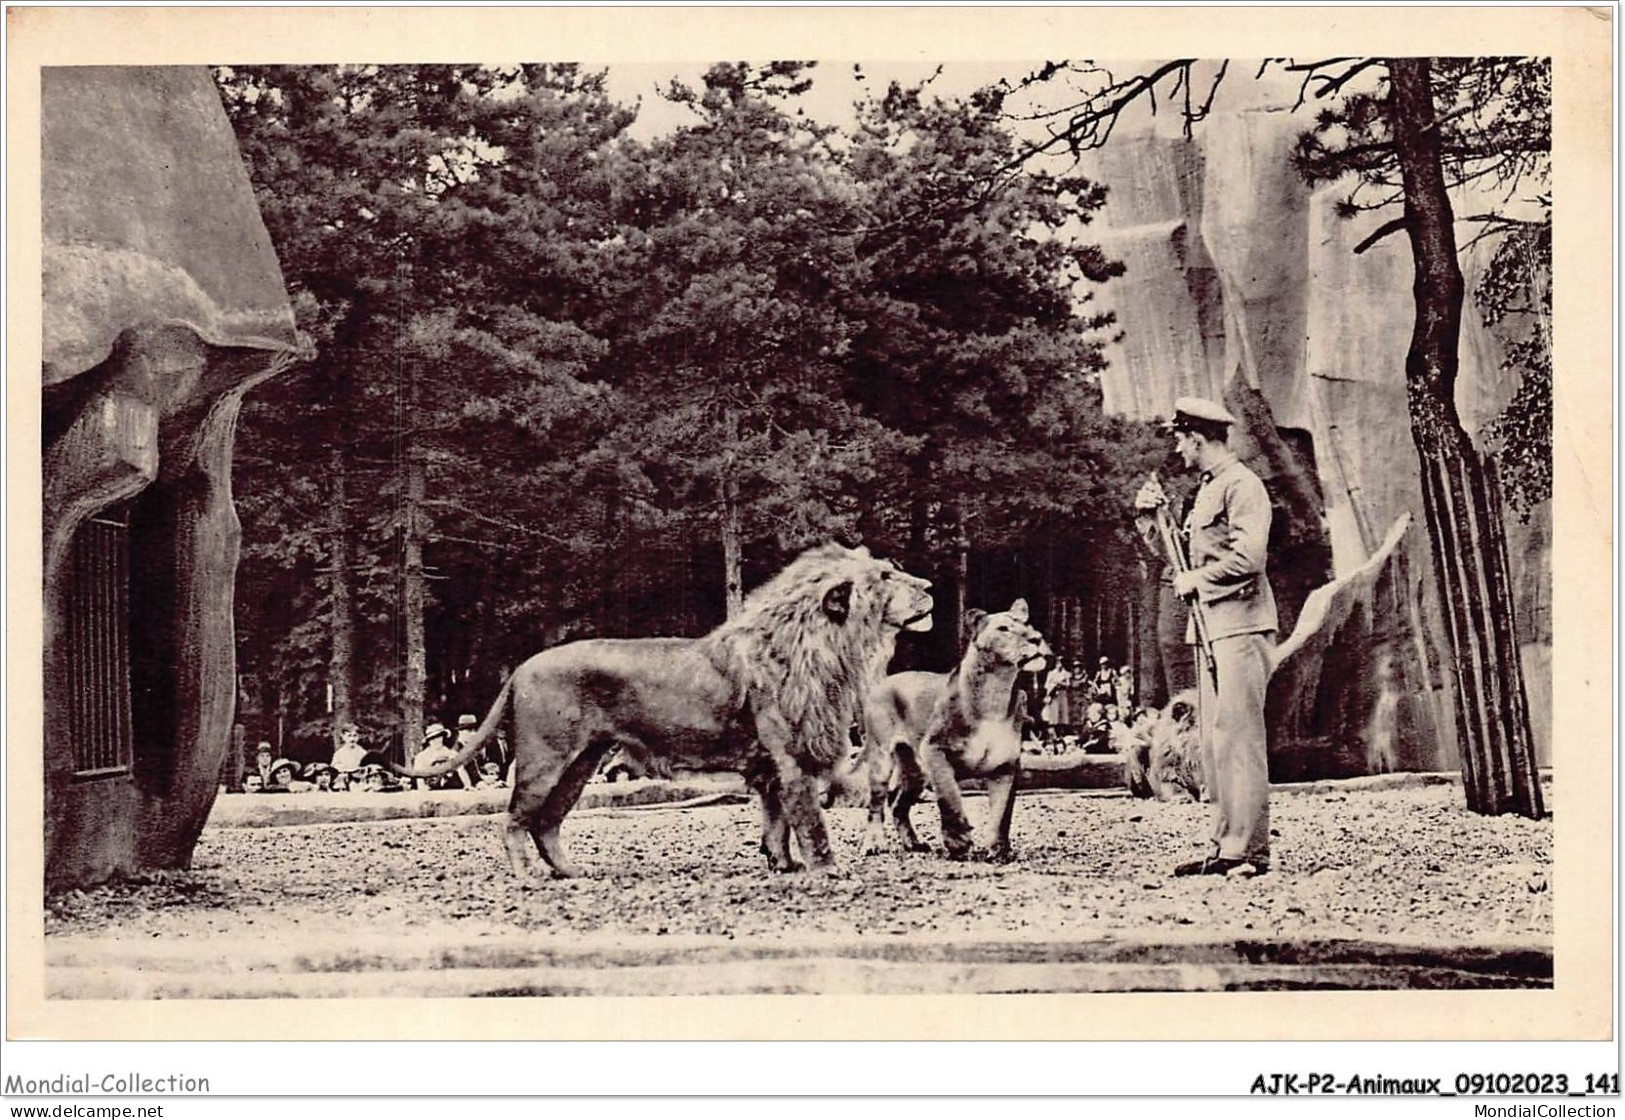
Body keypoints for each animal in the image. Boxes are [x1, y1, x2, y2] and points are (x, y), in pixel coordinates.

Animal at [386, 546, 936, 877]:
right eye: (886, 576)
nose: (930, 586)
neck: (824, 644)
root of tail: (520, 667)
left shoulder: (770, 767)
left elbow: (775, 822)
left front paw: (782, 865)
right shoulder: (791, 757)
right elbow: (809, 821)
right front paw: (826, 869)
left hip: (580, 764)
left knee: (547, 824)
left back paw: (572, 872)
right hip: (545, 760)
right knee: (515, 821)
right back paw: (527, 876)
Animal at [864, 601, 1053, 858]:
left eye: (1027, 624)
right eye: (1003, 628)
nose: (1036, 638)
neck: (996, 693)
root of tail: (885, 681)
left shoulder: (1006, 765)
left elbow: (1003, 813)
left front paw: (997, 849)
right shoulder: (934, 749)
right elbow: (949, 795)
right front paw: (959, 841)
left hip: (916, 770)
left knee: (898, 805)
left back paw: (914, 843)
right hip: (882, 758)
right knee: (876, 805)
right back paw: (874, 844)